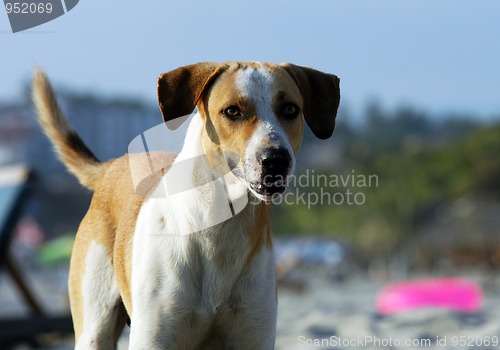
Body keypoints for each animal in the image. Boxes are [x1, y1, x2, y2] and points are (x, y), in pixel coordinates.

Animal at [32, 63, 340, 350]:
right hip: (95, 323)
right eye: (232, 111)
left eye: (290, 109)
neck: (220, 229)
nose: (275, 159)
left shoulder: (253, 333)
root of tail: (110, 166)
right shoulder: (154, 337)